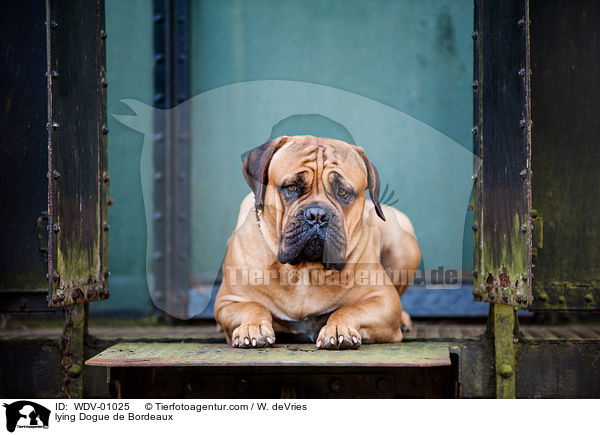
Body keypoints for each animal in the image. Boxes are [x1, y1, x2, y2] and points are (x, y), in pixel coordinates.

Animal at [213, 136, 420, 350]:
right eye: (291, 187)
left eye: (343, 192)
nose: (318, 215)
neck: (305, 271)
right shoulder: (226, 303)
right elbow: (252, 305)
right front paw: (252, 326)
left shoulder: (384, 301)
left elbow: (349, 309)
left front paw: (339, 328)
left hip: (404, 243)